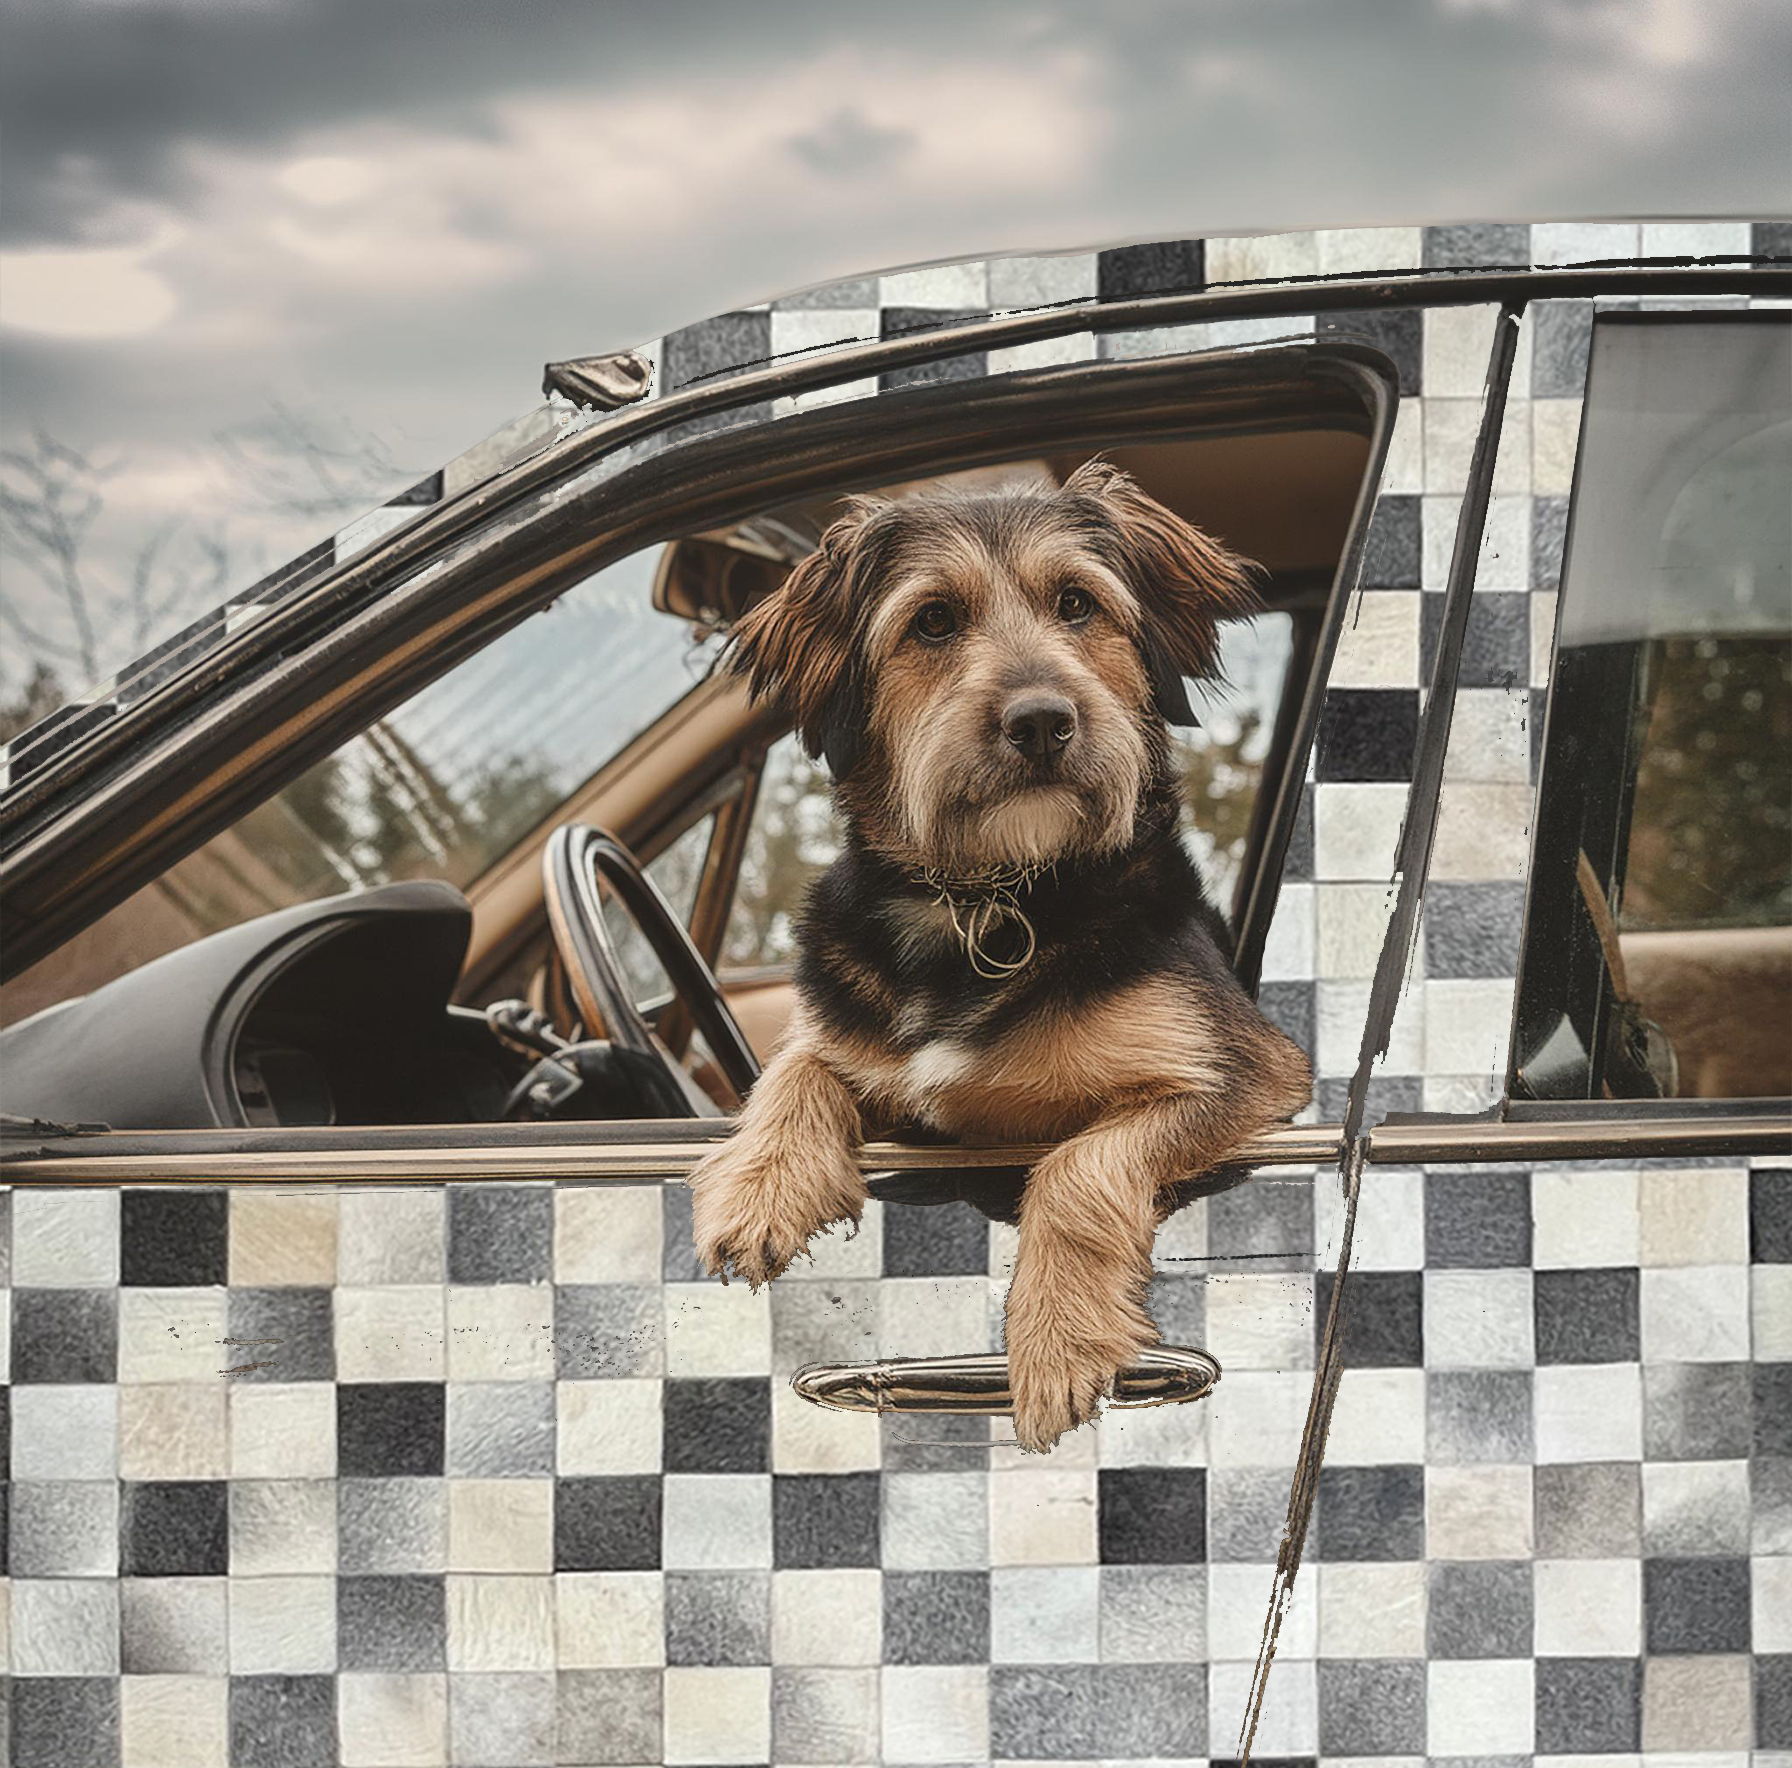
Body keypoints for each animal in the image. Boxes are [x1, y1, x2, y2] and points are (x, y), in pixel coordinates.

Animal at [691, 456, 1311, 1454]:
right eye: (934, 620)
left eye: (1077, 604)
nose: (1042, 721)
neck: (994, 900)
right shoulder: (864, 1058)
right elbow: (796, 1068)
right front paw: (758, 1187)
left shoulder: (1250, 1074)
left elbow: (1079, 1162)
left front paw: (1057, 1338)